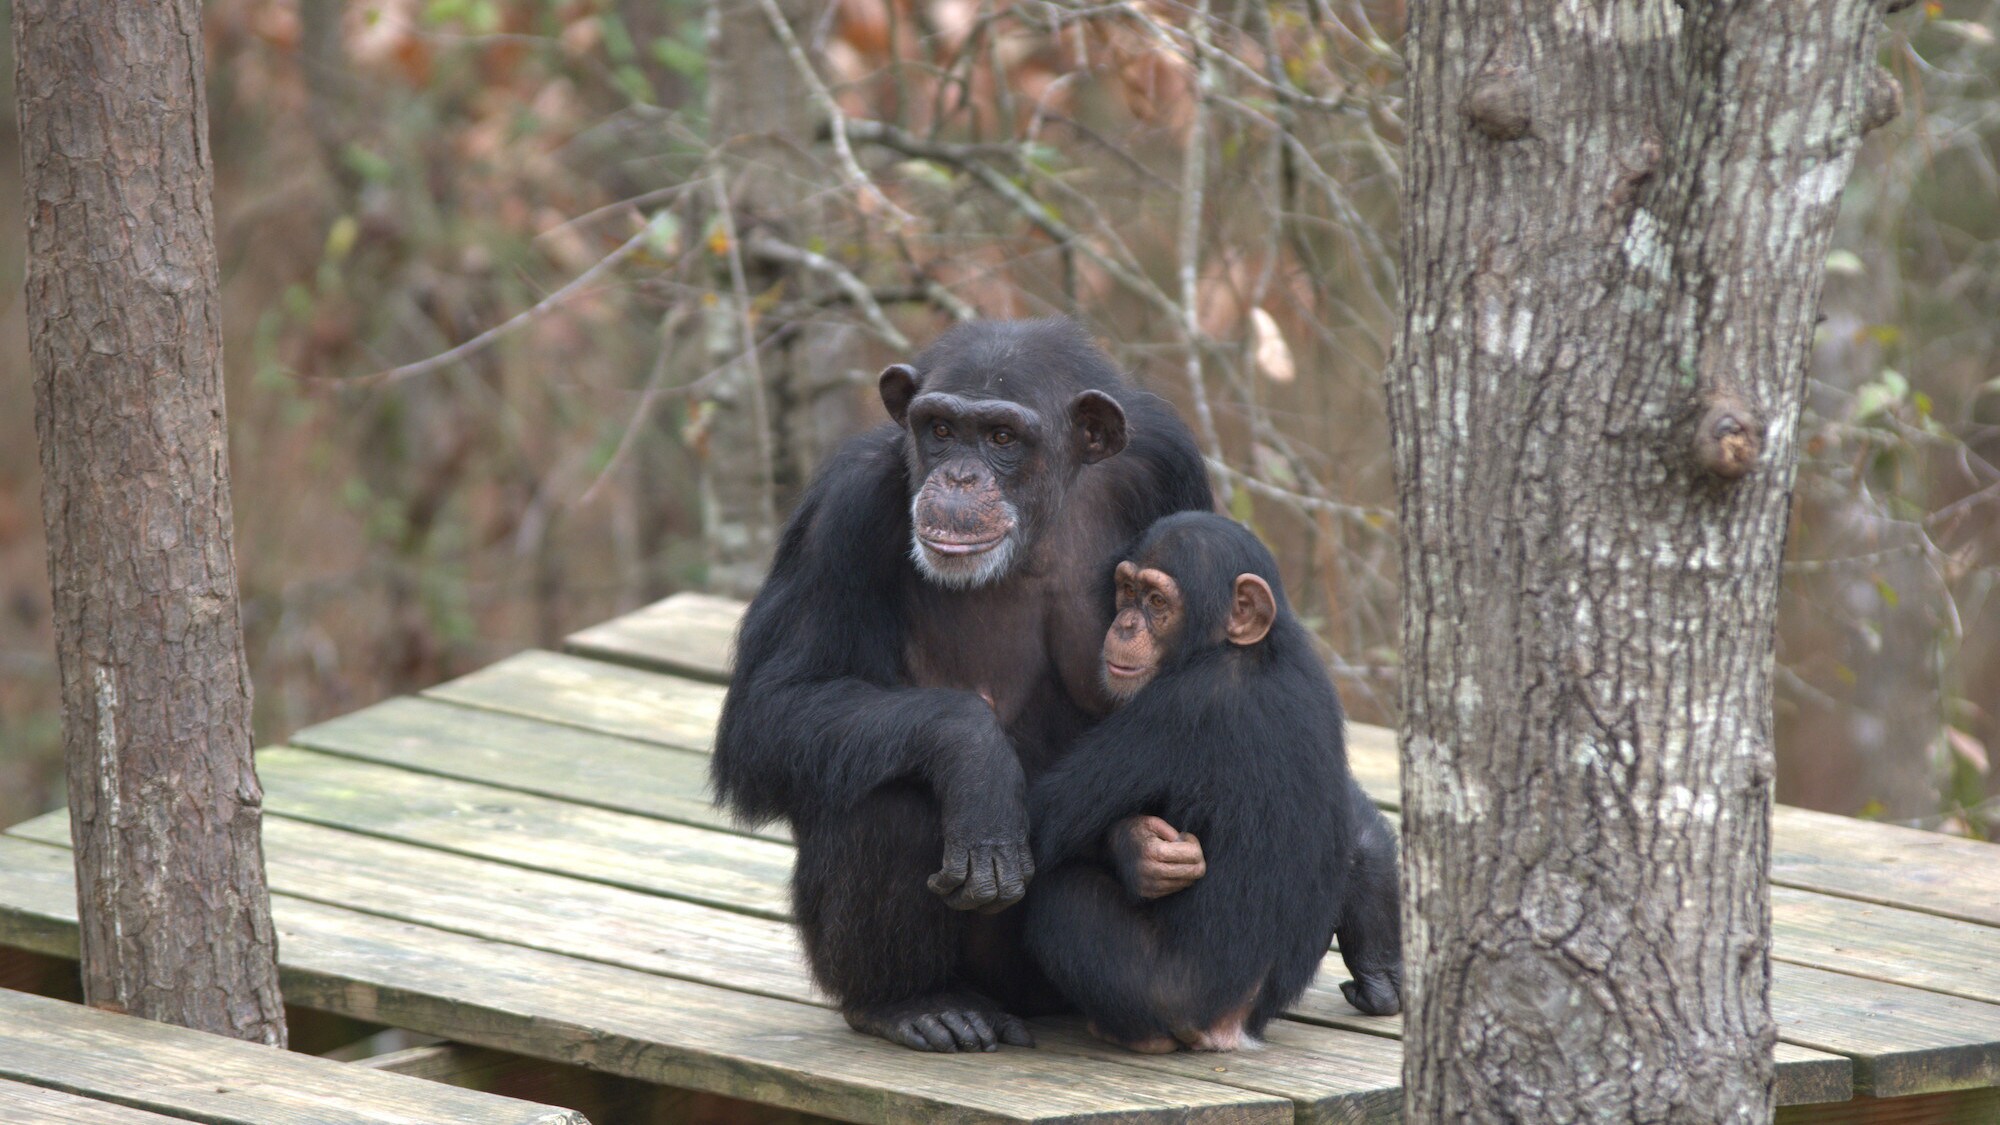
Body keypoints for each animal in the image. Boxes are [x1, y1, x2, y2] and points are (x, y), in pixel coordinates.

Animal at [712, 318, 1208, 1048]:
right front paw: (977, 763)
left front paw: (1140, 847)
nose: (959, 475)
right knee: (888, 797)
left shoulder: (1171, 467)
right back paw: (913, 1003)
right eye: (941, 428)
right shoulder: (844, 508)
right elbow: (768, 709)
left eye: (1001, 437)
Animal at [1024, 510, 1400, 1048]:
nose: (1125, 623)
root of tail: (1233, 1030)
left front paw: (1135, 848)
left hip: (1169, 999)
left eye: (1157, 602)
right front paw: (1379, 963)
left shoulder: (1181, 708)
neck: (1246, 651)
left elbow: (1036, 819)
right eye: (1127, 590)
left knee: (1062, 896)